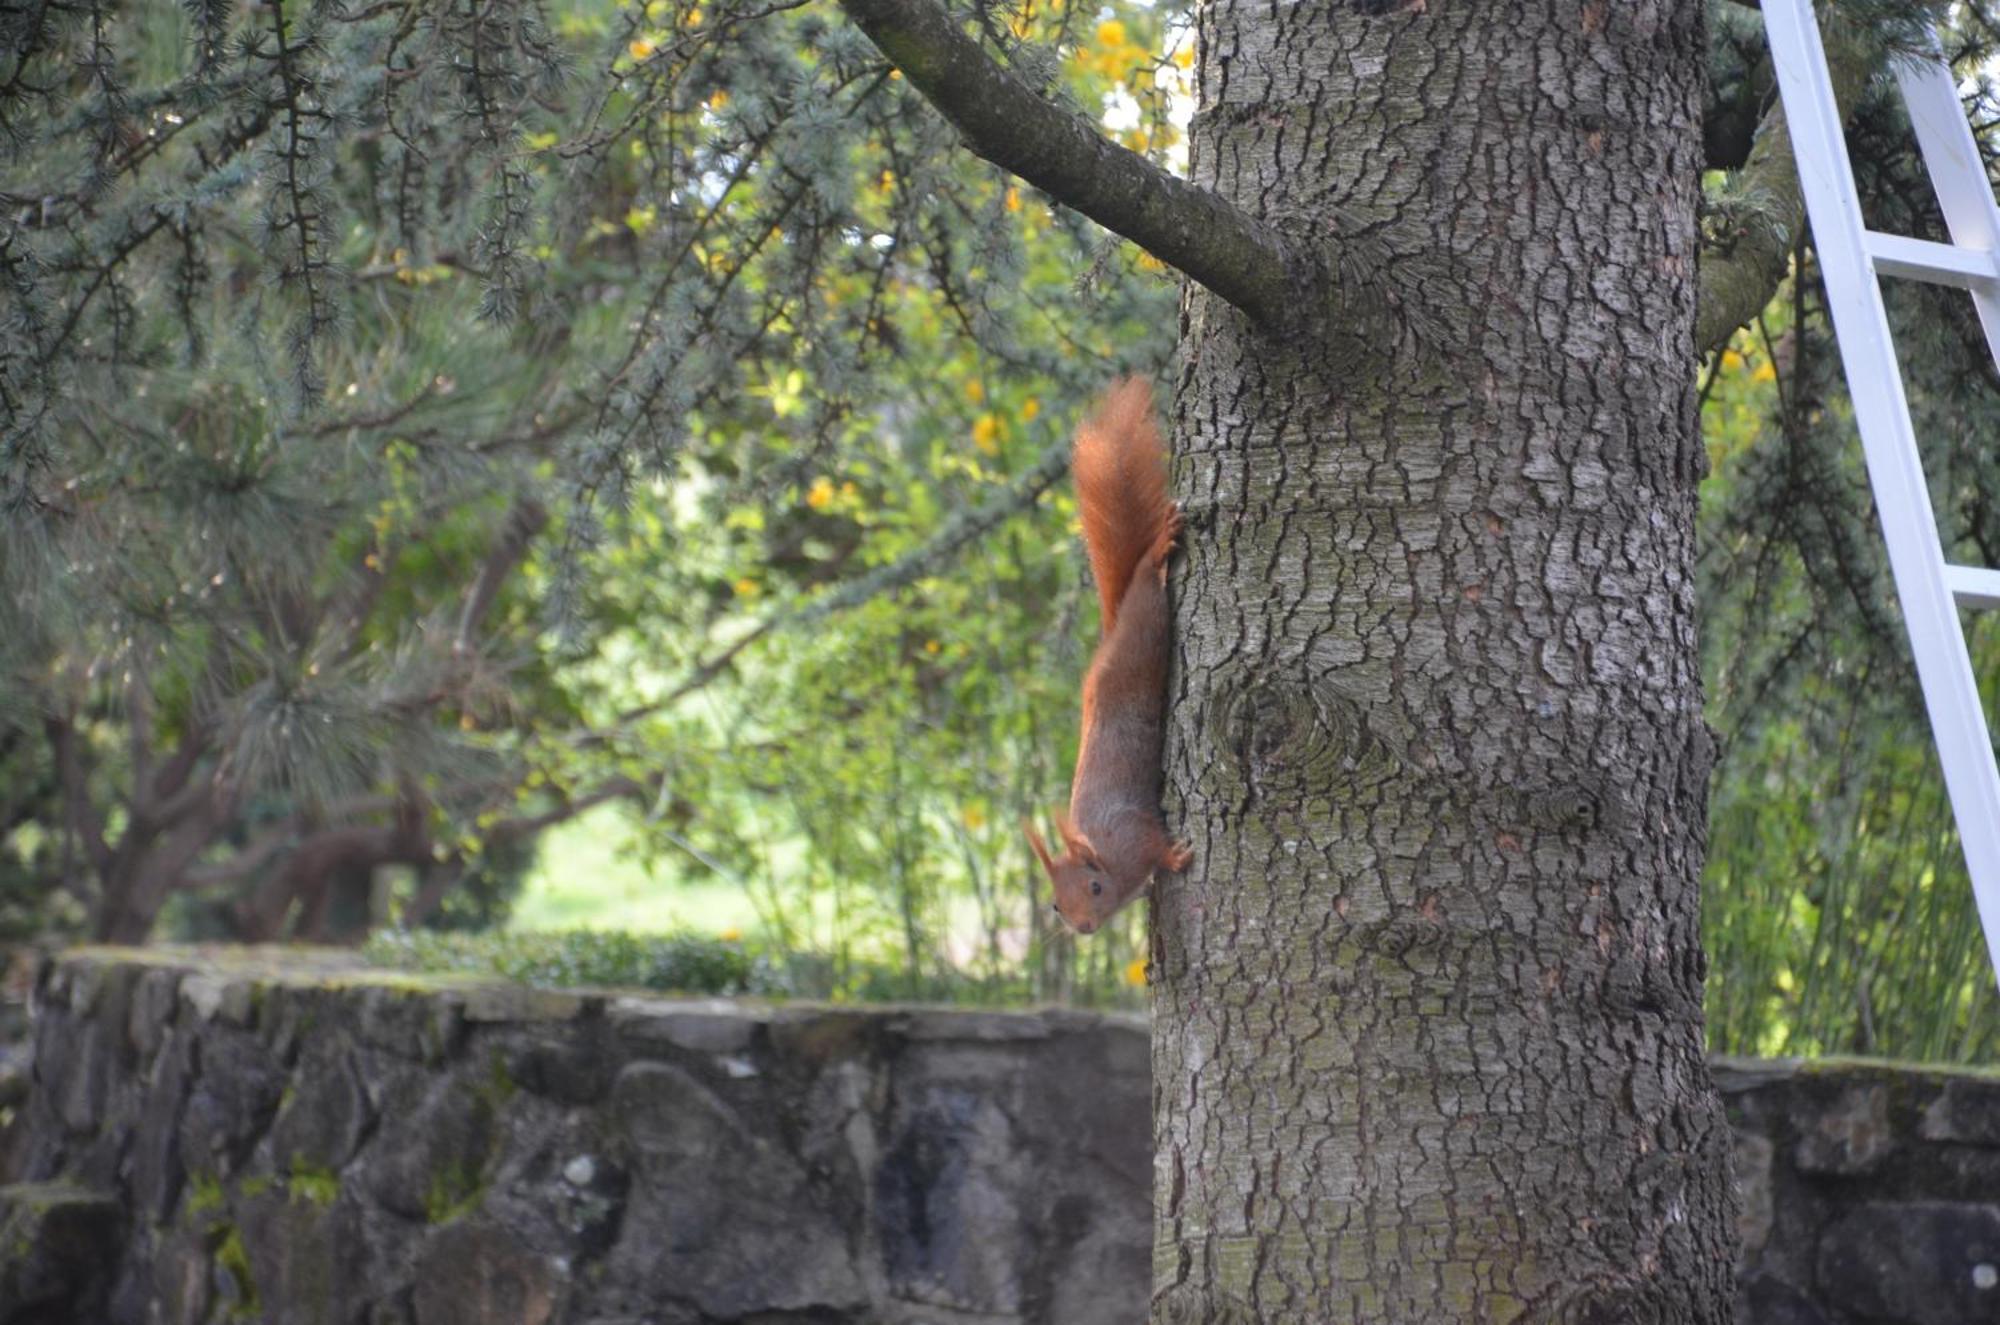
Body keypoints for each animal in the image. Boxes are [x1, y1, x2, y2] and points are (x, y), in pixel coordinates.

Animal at [1032, 374, 1184, 932]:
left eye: (1094, 888)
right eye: (1056, 904)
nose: (1084, 927)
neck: (1104, 853)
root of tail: (1109, 637)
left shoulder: (1134, 836)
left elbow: (1157, 848)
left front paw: (1175, 858)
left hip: (1145, 634)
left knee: (1145, 585)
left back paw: (1158, 551)